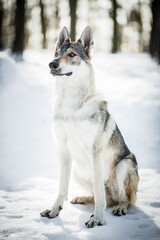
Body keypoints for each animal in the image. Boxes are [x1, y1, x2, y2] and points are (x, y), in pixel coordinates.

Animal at [40, 26, 139, 227]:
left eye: (71, 54)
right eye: (56, 53)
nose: (51, 64)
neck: (71, 105)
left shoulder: (95, 153)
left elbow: (100, 195)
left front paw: (98, 218)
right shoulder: (63, 151)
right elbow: (62, 188)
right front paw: (55, 211)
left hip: (123, 166)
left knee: (122, 199)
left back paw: (119, 208)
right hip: (78, 171)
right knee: (101, 196)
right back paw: (82, 198)